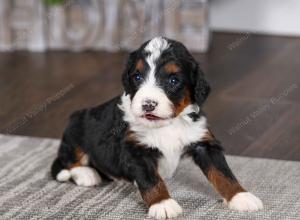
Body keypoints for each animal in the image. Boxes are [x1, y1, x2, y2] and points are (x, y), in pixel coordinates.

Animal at [51, 37, 262, 219]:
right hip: (76, 125)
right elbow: (151, 180)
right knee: (67, 159)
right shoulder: (136, 150)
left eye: (173, 80)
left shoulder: (203, 142)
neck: (167, 125)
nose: (148, 104)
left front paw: (241, 196)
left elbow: (223, 172)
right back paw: (87, 174)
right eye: (137, 77)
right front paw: (163, 204)